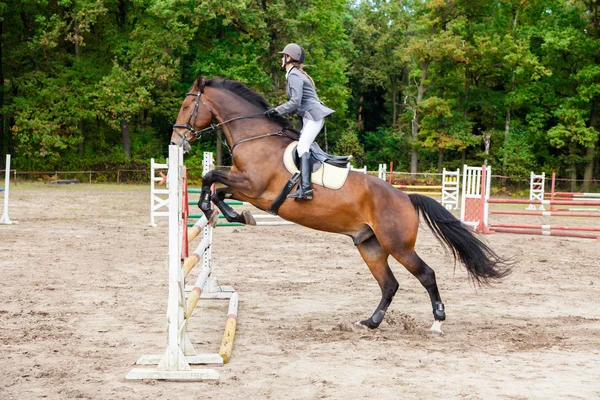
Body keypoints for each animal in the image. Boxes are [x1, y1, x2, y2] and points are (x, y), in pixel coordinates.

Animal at [169, 75, 510, 332]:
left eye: (186, 105)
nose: (176, 142)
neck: (256, 137)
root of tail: (405, 197)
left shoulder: (254, 187)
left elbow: (211, 176)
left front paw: (222, 211)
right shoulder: (246, 188)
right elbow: (216, 187)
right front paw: (229, 213)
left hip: (398, 245)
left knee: (425, 275)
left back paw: (437, 321)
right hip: (370, 245)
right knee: (389, 284)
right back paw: (371, 322)